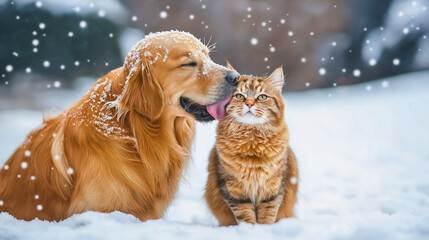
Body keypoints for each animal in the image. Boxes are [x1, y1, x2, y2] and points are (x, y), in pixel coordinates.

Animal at [204, 67, 298, 225]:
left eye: (262, 97)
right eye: (239, 96)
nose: (248, 104)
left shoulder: (273, 187)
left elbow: (267, 214)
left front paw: (264, 228)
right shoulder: (233, 188)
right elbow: (245, 215)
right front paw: (249, 228)